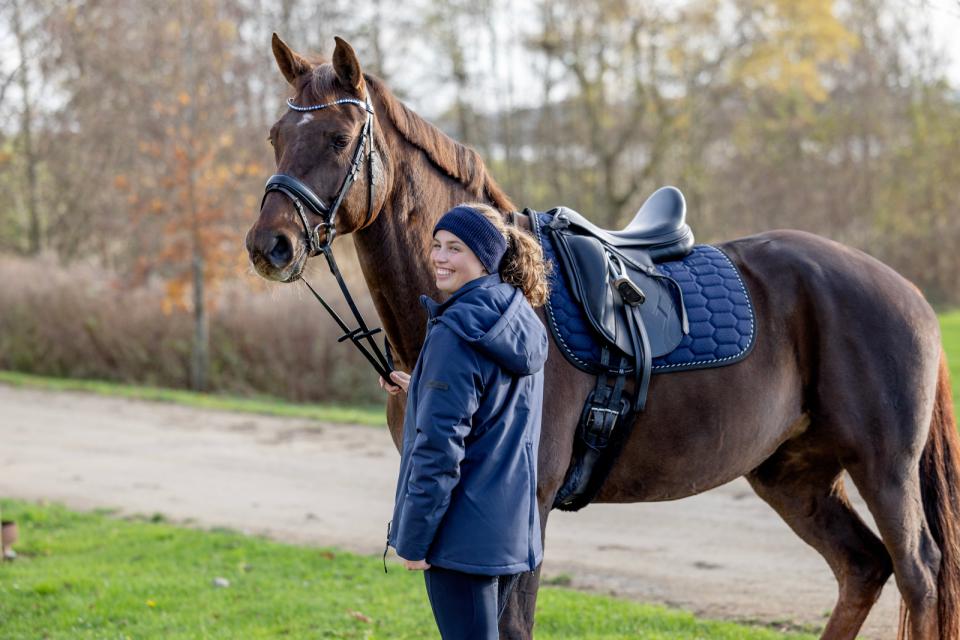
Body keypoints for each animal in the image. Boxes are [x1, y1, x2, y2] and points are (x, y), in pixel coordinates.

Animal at [245, 35, 960, 640]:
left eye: (339, 137)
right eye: (277, 136)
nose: (268, 245)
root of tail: (906, 292)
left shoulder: (523, 510)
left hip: (884, 468)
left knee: (919, 575)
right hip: (793, 473)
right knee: (863, 568)